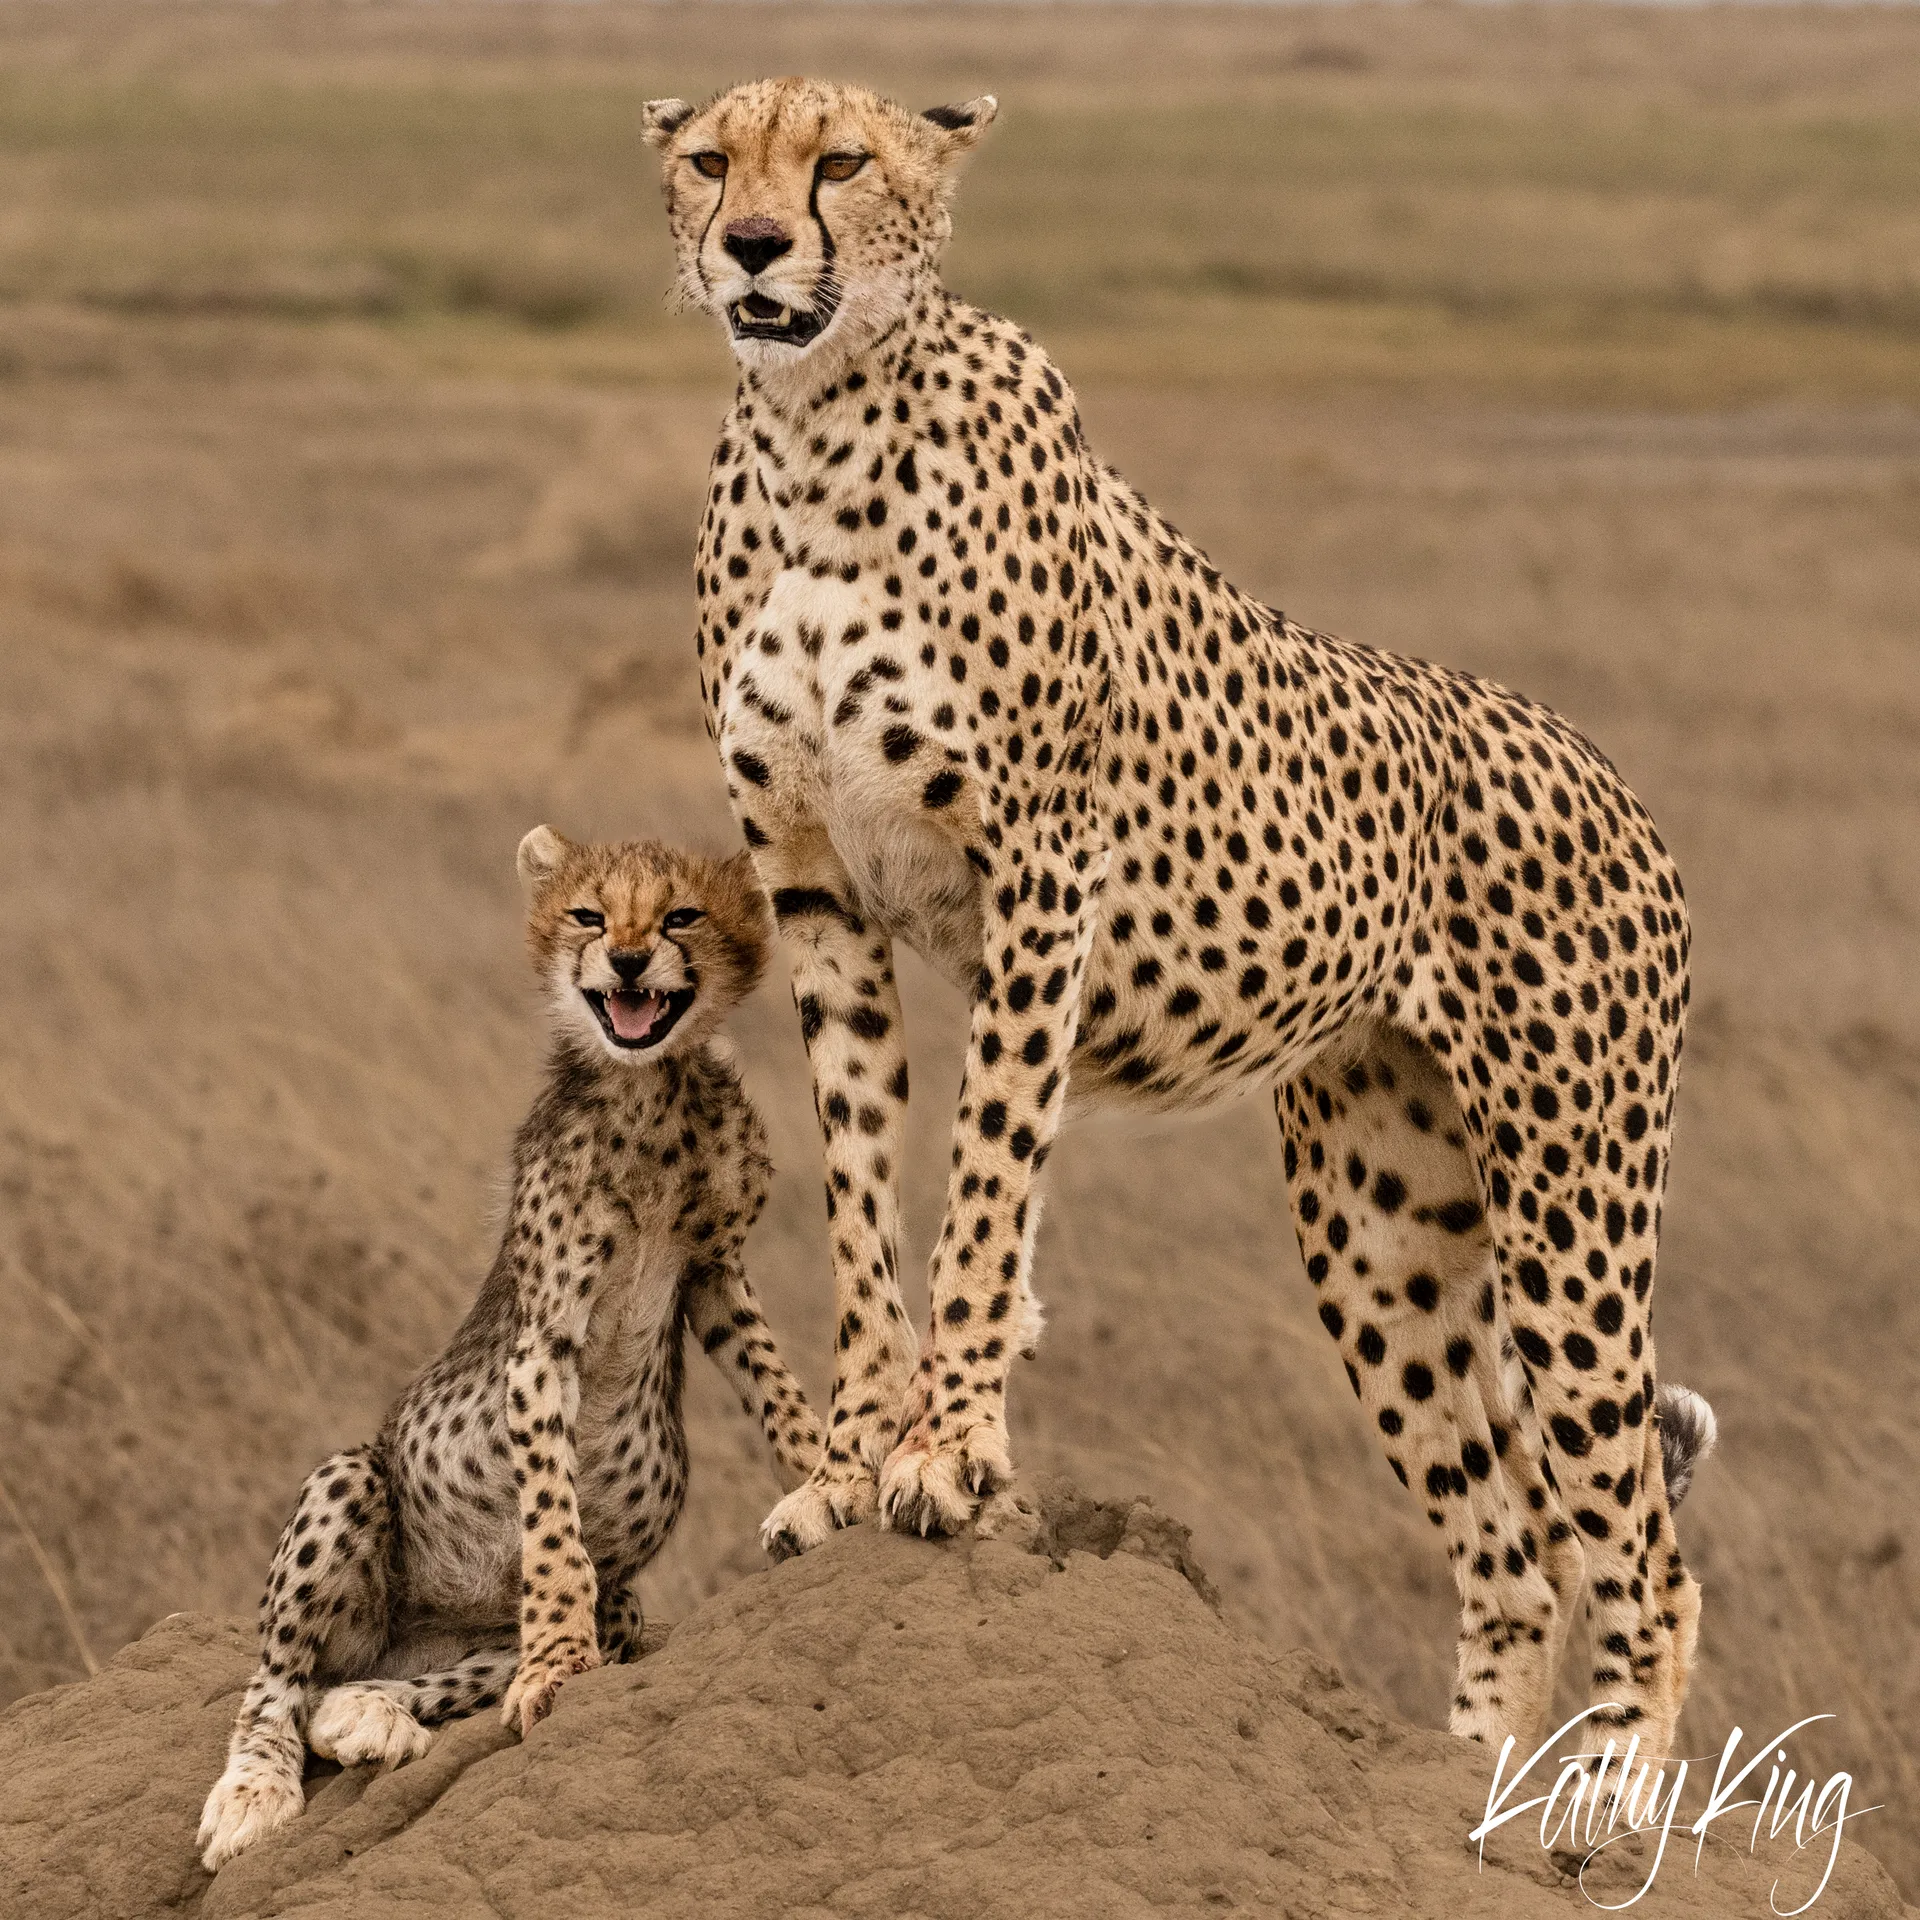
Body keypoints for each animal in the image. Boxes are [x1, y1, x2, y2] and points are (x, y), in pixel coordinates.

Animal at [197, 826, 822, 1873]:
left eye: (681, 916)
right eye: (588, 915)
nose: (626, 961)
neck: (649, 1090)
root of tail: (408, 1640)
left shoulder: (717, 1275)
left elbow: (782, 1393)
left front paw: (833, 1489)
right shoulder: (546, 1337)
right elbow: (553, 1528)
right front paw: (559, 1668)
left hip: (616, 1606)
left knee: (365, 1687)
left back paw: (371, 1713)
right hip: (349, 1481)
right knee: (278, 1683)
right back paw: (254, 1792)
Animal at [640, 77, 1718, 1761]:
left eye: (840, 162)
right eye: (708, 160)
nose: (752, 244)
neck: (819, 427)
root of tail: (1603, 765)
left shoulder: (1042, 872)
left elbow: (983, 1183)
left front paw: (945, 1452)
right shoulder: (815, 890)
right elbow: (864, 1197)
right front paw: (843, 1469)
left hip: (1573, 1206)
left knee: (1644, 1557)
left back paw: (1603, 1790)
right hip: (1381, 1236)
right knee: (1515, 1553)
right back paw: (1470, 1778)